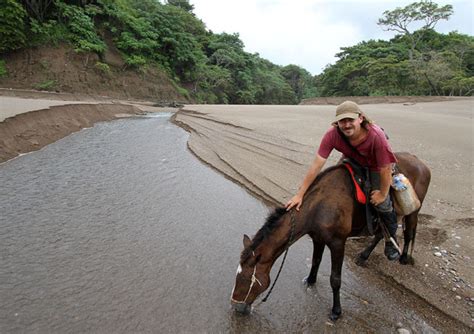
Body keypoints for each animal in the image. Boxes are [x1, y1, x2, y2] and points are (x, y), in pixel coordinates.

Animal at [230, 153, 430, 320]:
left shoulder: (337, 243)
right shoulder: (317, 238)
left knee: (408, 231)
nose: (235, 307)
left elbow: (335, 279)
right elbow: (315, 261)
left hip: (413, 209)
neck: (319, 206)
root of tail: (422, 164)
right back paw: (364, 256)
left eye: (245, 279)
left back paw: (402, 257)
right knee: (382, 232)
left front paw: (336, 311)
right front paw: (310, 281)